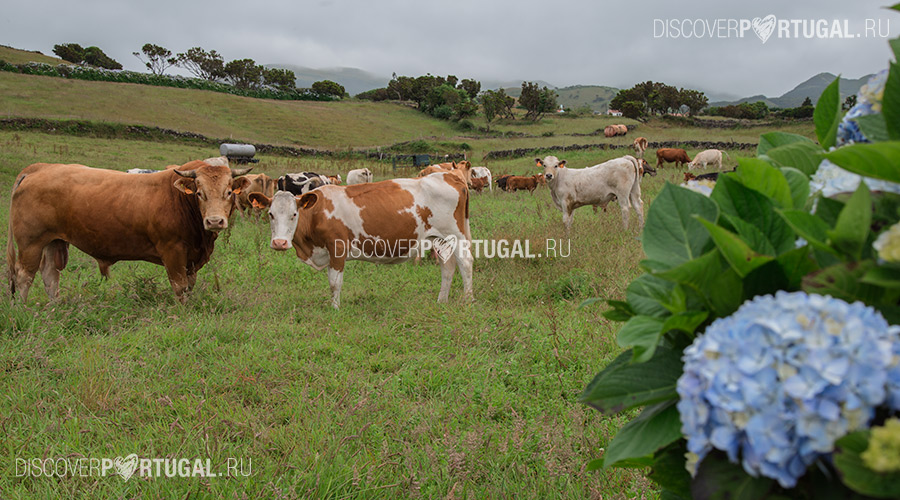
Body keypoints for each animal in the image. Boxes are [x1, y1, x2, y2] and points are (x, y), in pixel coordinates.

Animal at [7, 160, 252, 304]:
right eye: (199, 193)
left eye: (229, 192)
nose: (214, 221)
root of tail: (40, 167)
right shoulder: (172, 251)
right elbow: (180, 286)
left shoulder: (192, 256)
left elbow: (190, 285)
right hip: (31, 243)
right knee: (24, 276)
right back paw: (24, 310)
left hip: (53, 240)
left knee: (50, 275)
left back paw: (55, 308)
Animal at [248, 173, 473, 309]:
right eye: (270, 214)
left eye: (294, 214)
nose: (279, 243)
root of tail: (447, 175)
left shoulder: (337, 248)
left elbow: (334, 282)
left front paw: (335, 309)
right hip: (440, 239)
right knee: (447, 266)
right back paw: (441, 301)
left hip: (456, 235)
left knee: (465, 263)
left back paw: (468, 300)